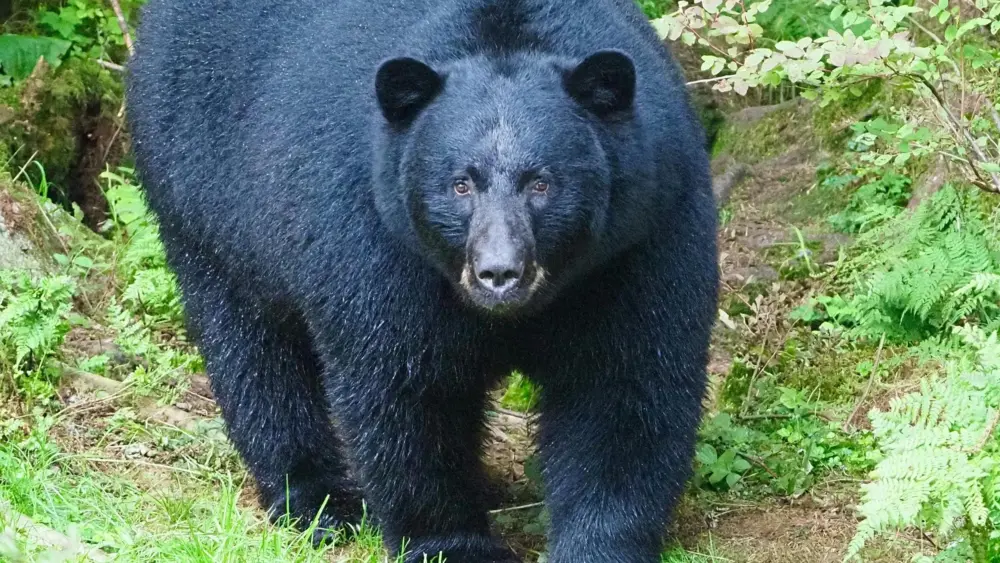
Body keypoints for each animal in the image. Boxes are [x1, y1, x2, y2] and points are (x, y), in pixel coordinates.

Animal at [125, 0, 719, 561]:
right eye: (460, 184)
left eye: (542, 183)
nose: (498, 273)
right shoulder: (376, 239)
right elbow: (407, 390)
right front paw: (453, 545)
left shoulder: (641, 238)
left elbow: (625, 387)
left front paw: (600, 545)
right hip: (202, 194)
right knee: (253, 352)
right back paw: (317, 502)